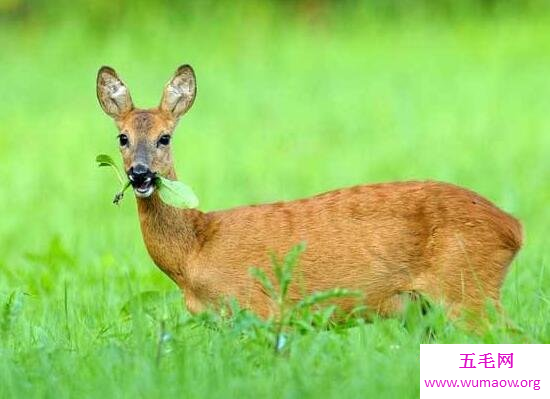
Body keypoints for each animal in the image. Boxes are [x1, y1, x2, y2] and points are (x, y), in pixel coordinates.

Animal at [97, 65, 524, 322]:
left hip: (467, 288)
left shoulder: (260, 307)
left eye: (164, 138)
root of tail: (513, 228)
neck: (194, 253)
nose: (140, 174)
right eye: (123, 138)